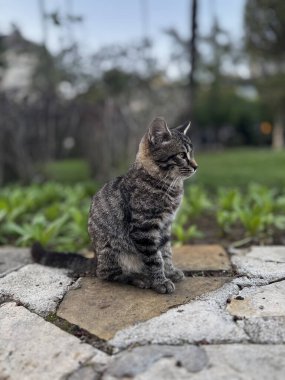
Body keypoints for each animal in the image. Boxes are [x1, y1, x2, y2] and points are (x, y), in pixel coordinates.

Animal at [30, 117, 195, 296]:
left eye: (191, 154)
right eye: (182, 155)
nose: (196, 166)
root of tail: (96, 259)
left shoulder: (165, 226)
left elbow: (166, 252)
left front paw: (170, 271)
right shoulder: (144, 228)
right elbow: (155, 258)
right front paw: (160, 281)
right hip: (116, 252)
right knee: (107, 274)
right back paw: (139, 278)